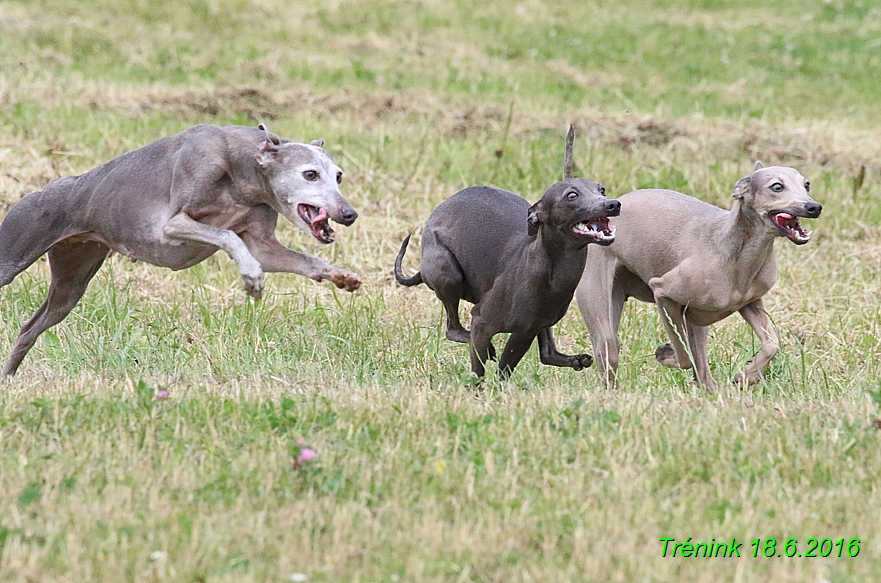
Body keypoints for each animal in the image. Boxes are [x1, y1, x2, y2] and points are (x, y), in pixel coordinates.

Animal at [0, 125, 360, 376]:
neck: (242, 167)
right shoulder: (172, 226)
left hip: (71, 283)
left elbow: (299, 258)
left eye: (339, 176)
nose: (349, 214)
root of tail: (44, 190)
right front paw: (252, 278)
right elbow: (229, 237)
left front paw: (340, 276)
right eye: (310, 174)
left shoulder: (263, 244)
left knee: (29, 328)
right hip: (15, 255)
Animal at [394, 129, 620, 378]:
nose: (612, 204)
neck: (551, 273)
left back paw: (575, 359)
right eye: (571, 195)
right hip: (446, 272)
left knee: (547, 353)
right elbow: (479, 369)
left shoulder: (527, 330)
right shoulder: (481, 322)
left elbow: (505, 371)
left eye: (601, 190)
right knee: (452, 329)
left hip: (540, 323)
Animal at [576, 162, 820, 390]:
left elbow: (772, 343)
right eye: (777, 186)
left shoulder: (750, 303)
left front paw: (747, 375)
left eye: (807, 185)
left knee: (702, 370)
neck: (738, 255)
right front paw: (666, 353)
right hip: (602, 309)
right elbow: (684, 355)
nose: (814, 207)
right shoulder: (662, 293)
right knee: (610, 347)